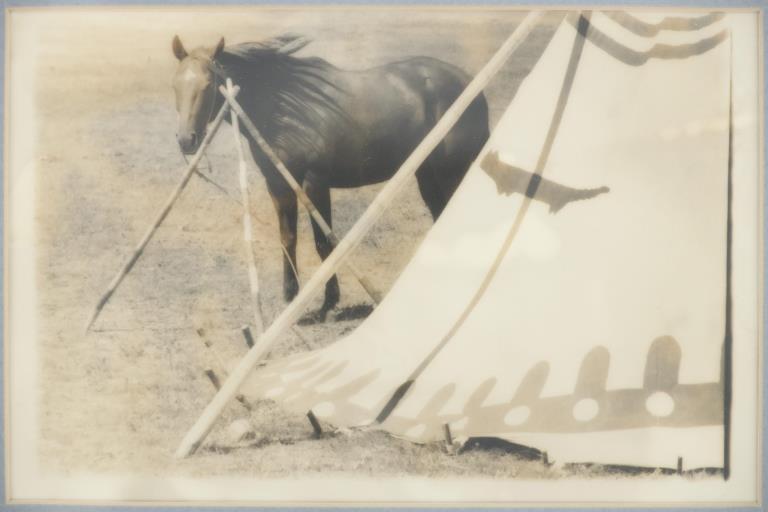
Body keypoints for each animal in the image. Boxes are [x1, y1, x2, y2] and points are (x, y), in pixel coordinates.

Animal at [171, 33, 488, 316]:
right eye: (175, 86)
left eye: (209, 84)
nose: (186, 140)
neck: (283, 110)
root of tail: (468, 82)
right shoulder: (278, 184)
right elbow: (287, 239)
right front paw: (291, 298)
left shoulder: (315, 183)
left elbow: (323, 243)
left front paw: (329, 301)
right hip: (427, 174)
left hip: (451, 172)